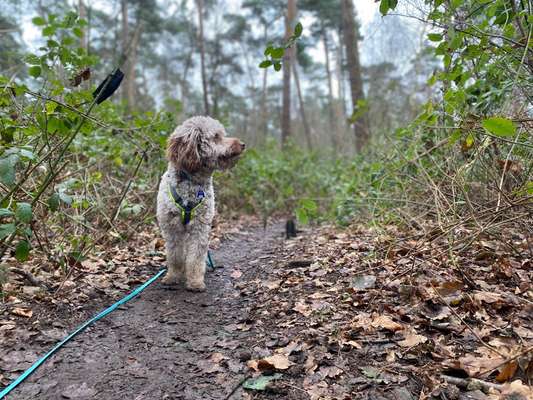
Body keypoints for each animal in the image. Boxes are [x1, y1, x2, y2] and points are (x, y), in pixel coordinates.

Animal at [155, 115, 244, 290]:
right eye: (216, 136)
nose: (243, 144)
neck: (192, 183)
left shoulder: (200, 227)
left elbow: (196, 257)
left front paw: (195, 281)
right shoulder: (172, 228)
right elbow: (175, 256)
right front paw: (173, 276)